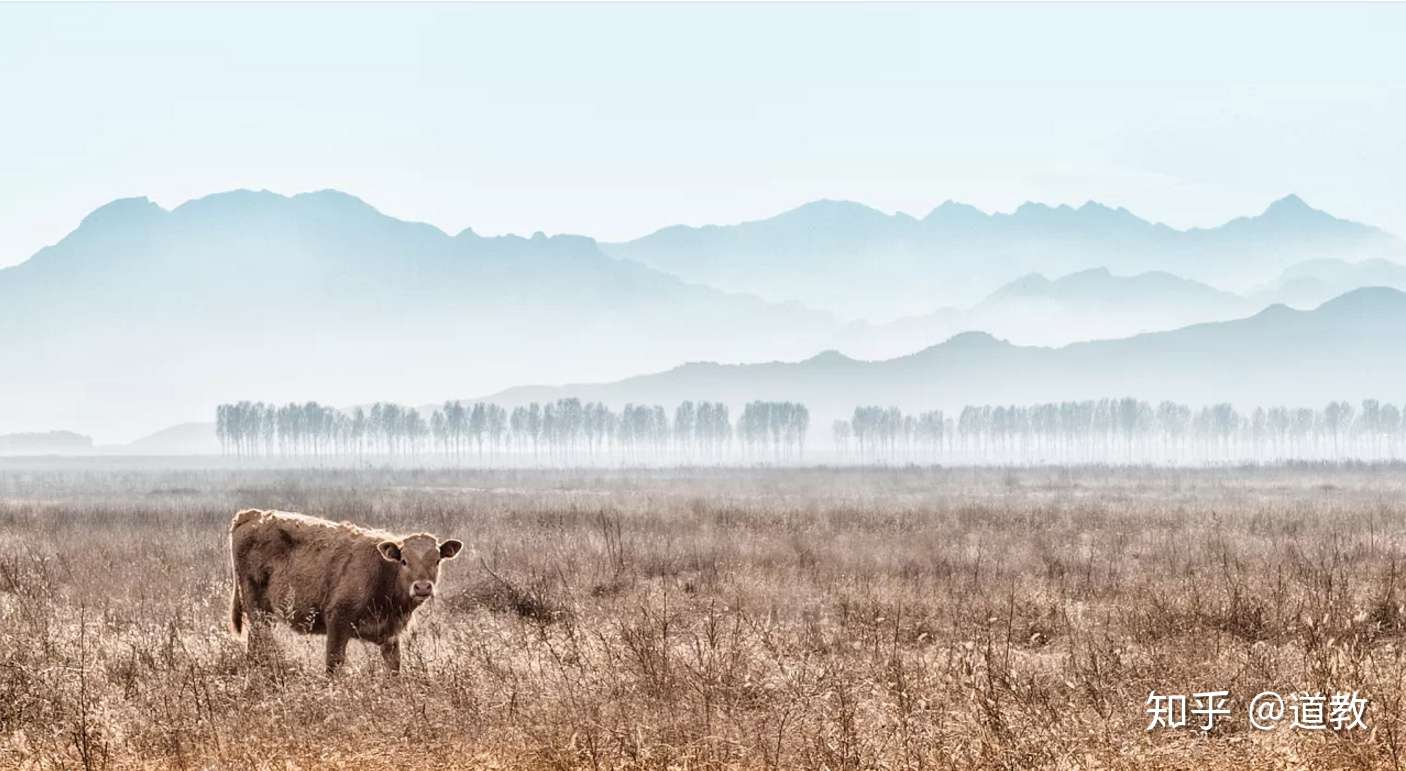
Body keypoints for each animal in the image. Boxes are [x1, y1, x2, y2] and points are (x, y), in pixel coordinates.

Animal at [227, 509, 463, 672]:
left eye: (437, 560)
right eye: (404, 561)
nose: (422, 586)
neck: (383, 573)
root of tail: (251, 515)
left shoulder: (390, 636)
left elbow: (394, 669)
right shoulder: (337, 622)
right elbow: (334, 666)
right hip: (258, 613)